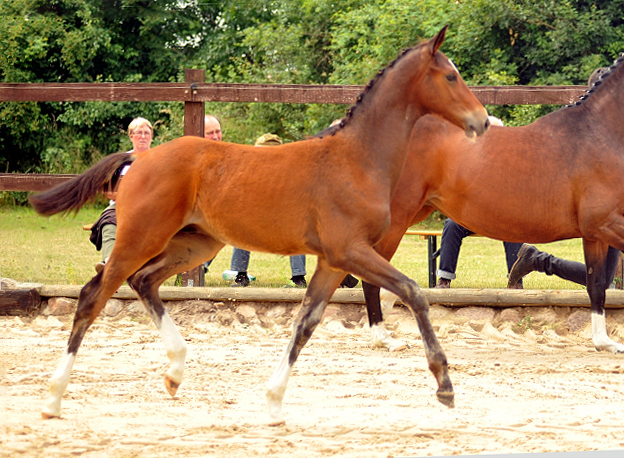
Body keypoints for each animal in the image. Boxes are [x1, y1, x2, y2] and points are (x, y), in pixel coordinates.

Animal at [29, 26, 490, 424]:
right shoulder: (350, 250)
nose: (483, 121)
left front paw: (273, 402)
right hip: (141, 236)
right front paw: (444, 385)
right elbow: (414, 292)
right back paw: (53, 398)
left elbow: (305, 322)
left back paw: (175, 372)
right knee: (94, 295)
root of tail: (138, 159)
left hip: (194, 245)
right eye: (451, 76)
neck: (358, 158)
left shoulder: (332, 261)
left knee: (143, 281)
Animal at [364, 53, 624, 354]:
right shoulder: (605, 223)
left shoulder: (595, 233)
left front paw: (605, 343)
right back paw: (383, 338)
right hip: (398, 217)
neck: (599, 134)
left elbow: (596, 284)